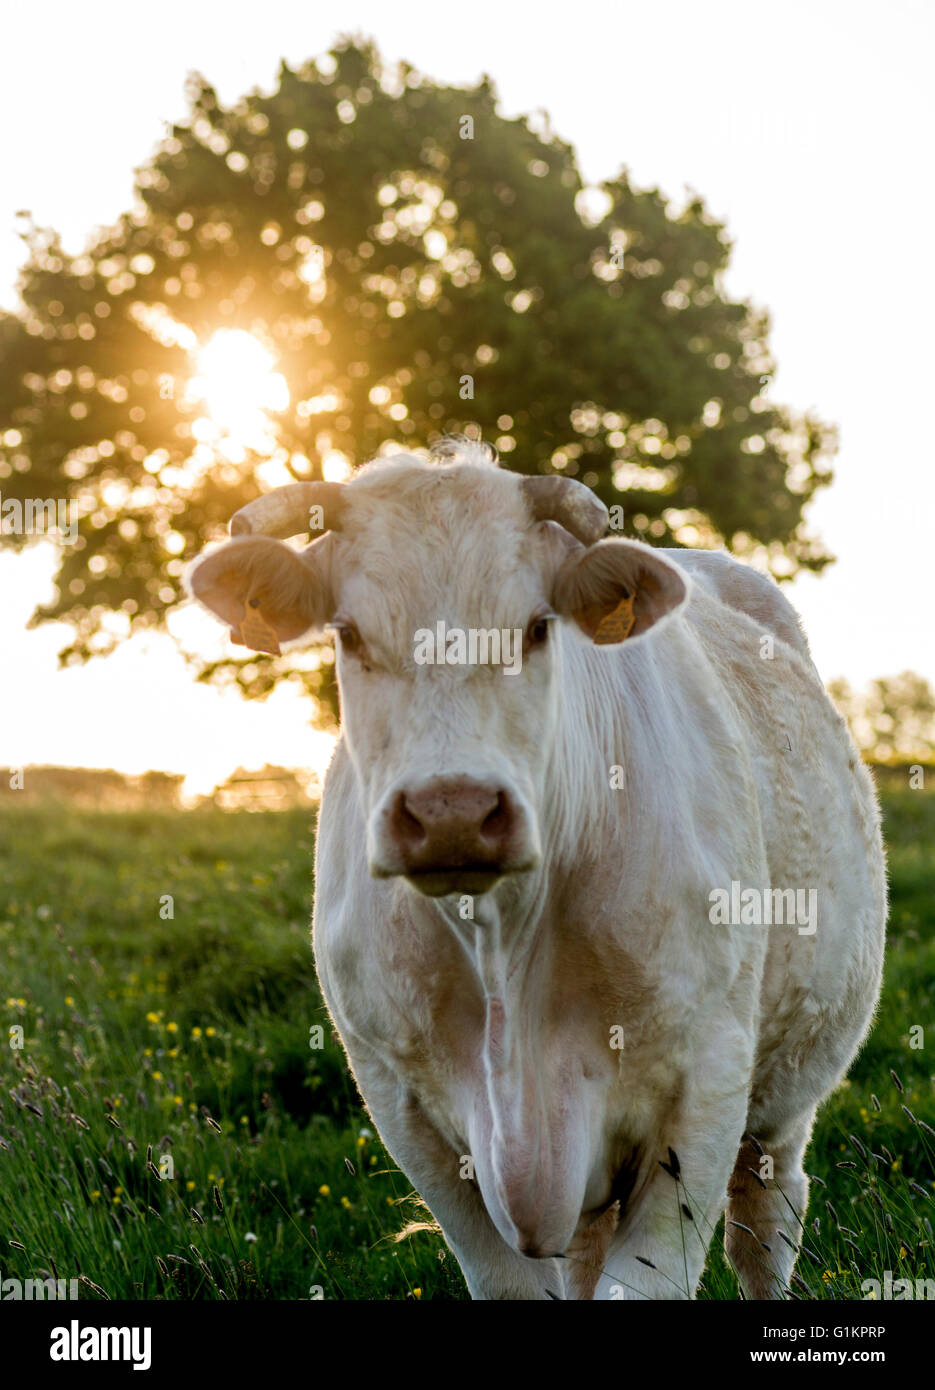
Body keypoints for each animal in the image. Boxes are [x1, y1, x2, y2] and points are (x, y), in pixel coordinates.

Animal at [187, 444, 883, 1301]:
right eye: (348, 634)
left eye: (536, 628)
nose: (451, 809)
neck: (501, 952)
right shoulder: (401, 1105)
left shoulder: (703, 1093)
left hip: (783, 1101)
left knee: (766, 1223)